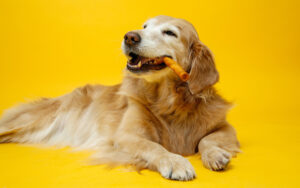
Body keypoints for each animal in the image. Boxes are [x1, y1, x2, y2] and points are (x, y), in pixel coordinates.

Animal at [0, 15, 239, 181]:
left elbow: (207, 139)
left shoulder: (226, 128)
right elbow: (154, 147)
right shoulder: (126, 136)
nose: (129, 36)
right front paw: (175, 161)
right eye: (145, 26)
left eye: (169, 33)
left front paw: (215, 154)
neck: (168, 100)